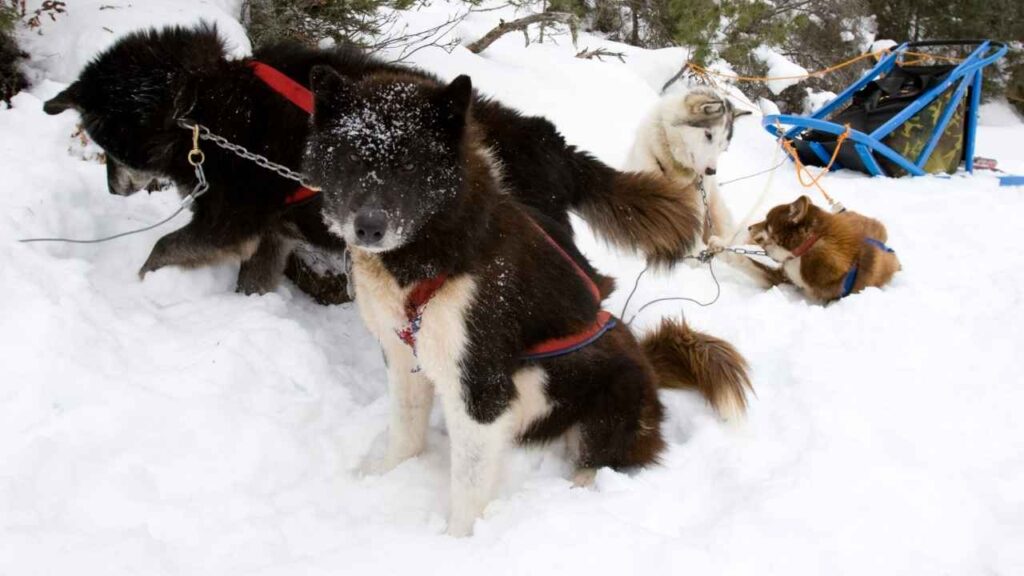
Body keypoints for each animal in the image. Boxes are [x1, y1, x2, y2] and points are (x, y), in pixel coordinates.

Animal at [44, 23, 700, 295]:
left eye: (102, 145)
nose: (112, 189)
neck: (203, 105)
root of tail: (553, 146)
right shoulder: (270, 232)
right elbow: (252, 278)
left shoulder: (229, 220)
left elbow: (159, 250)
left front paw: (136, 289)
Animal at [716, 194, 901, 301]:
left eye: (767, 222)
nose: (749, 227)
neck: (805, 249)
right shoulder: (783, 277)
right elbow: (746, 262)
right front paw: (718, 247)